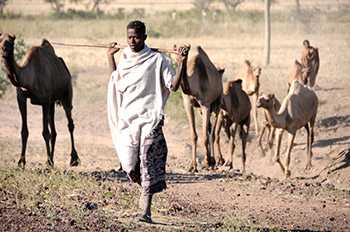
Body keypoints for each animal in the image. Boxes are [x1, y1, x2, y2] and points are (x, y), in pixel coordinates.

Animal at [0, 32, 80, 168]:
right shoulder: (21, 98)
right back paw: (52, 160)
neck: (28, 78)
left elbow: (45, 133)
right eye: (0, 40)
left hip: (66, 95)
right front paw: (21, 162)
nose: (4, 50)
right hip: (52, 102)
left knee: (70, 124)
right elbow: (24, 131)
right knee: (54, 131)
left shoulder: (44, 101)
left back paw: (74, 159)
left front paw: (48, 161)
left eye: (11, 41)